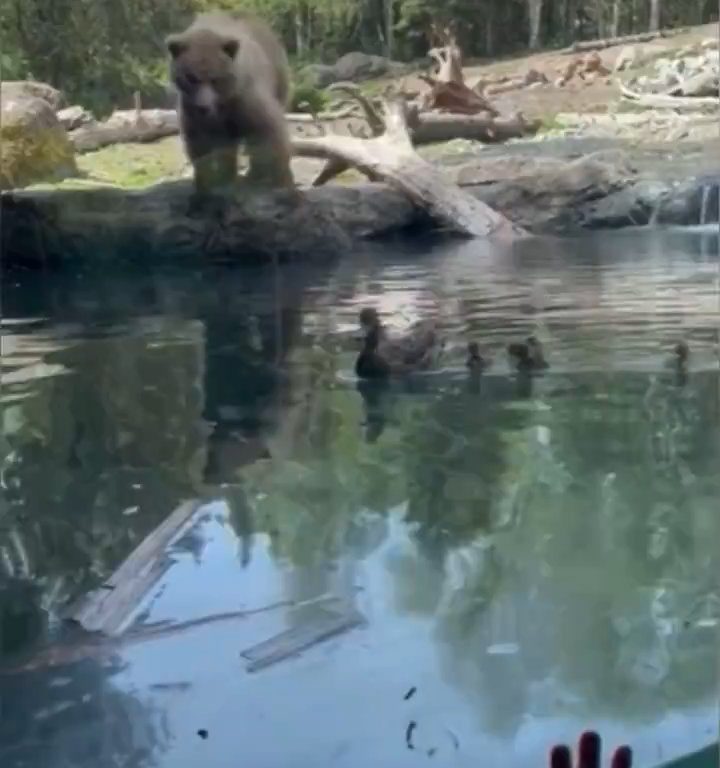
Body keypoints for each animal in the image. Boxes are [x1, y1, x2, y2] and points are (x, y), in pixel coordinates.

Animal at [165, 12, 292, 198]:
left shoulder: (245, 98)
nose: (203, 107)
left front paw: (281, 182)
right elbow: (200, 148)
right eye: (191, 78)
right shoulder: (192, 112)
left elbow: (270, 131)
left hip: (278, 79)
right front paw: (205, 188)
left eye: (215, 78)